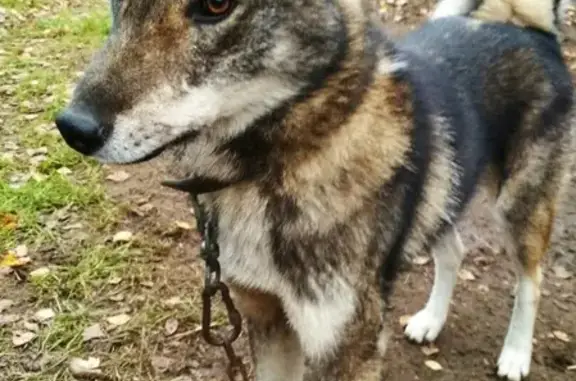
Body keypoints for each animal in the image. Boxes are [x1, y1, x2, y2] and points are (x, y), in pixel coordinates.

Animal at [53, 0, 572, 380]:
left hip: (518, 205)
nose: (72, 127)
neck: (269, 170)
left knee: (531, 281)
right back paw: (430, 320)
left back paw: (516, 355)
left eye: (217, 5)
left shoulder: (346, 344)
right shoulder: (265, 317)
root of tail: (530, 31)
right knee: (454, 249)